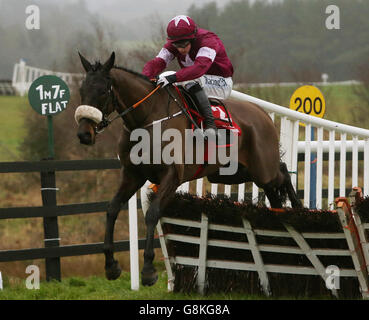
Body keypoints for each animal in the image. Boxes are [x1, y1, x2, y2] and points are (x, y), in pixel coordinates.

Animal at [75, 51, 302, 286]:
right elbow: (112, 209)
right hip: (232, 173)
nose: (84, 134)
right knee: (275, 188)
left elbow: (152, 214)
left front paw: (148, 270)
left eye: (102, 91)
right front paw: (111, 265)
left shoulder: (171, 176)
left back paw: (298, 209)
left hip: (262, 169)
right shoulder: (132, 175)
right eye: (82, 91)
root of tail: (262, 113)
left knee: (282, 173)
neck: (148, 119)